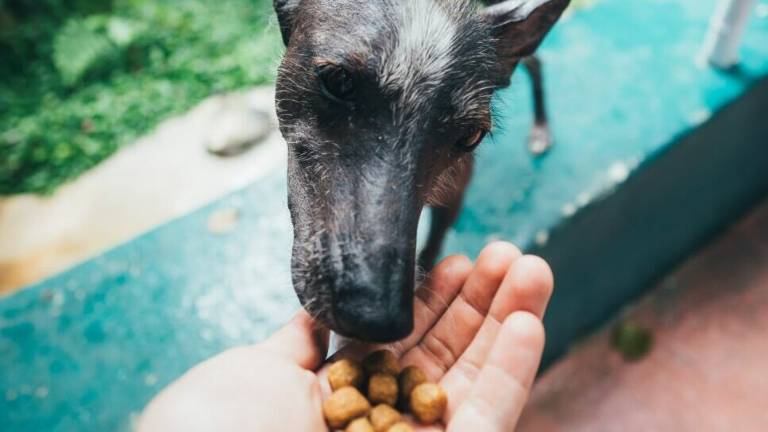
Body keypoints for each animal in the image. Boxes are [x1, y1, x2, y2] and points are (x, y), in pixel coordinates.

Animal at [272, 0, 568, 342]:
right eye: (338, 80)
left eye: (471, 135)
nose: (376, 319)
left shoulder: (454, 195)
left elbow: (432, 249)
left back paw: (541, 127)